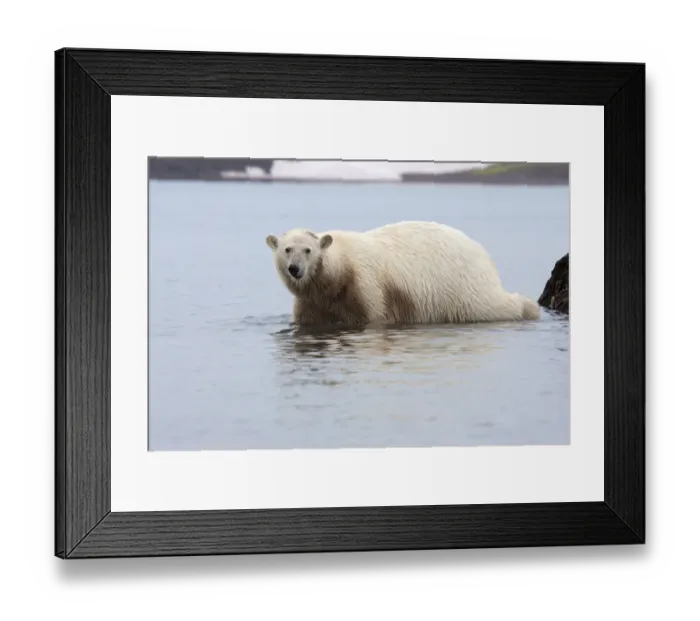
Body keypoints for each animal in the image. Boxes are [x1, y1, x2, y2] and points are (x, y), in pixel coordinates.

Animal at [265, 220, 540, 327]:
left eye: (308, 250)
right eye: (287, 249)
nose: (295, 269)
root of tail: (482, 252)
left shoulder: (367, 285)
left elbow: (373, 315)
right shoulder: (314, 300)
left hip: (463, 286)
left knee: (490, 304)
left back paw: (528, 307)